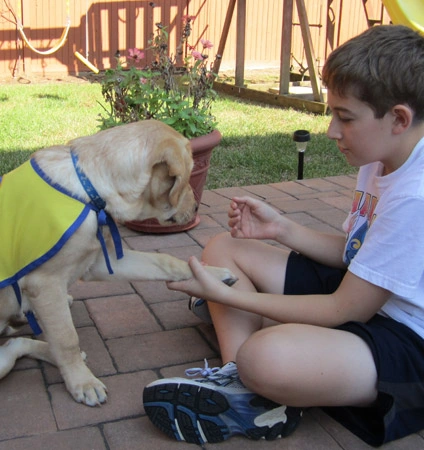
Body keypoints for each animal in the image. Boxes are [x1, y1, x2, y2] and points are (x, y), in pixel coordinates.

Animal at [0, 121, 235, 406]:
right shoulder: (44, 283)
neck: (90, 190)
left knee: (16, 343)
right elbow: (67, 339)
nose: (198, 207)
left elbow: (164, 260)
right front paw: (82, 381)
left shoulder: (100, 261)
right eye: (187, 177)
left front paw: (213, 275)